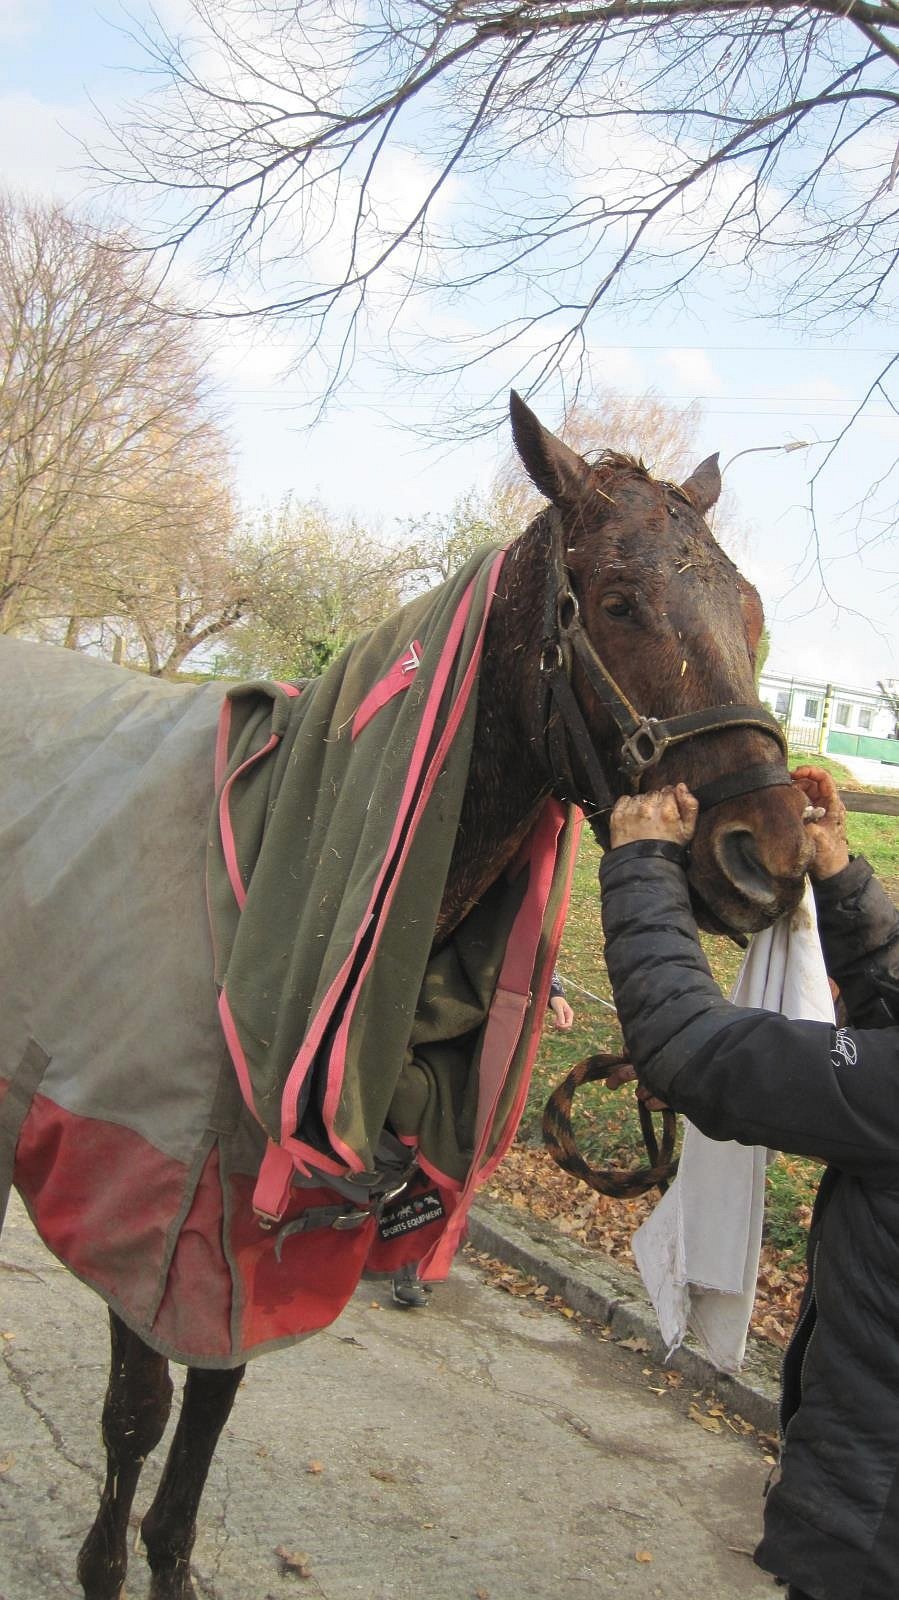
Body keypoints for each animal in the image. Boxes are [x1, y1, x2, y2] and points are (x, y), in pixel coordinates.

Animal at [0, 390, 809, 1600]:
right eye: (618, 602)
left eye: (751, 615)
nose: (768, 860)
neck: (279, 861)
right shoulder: (139, 1198)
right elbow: (137, 1416)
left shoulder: (255, 1237)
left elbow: (212, 1407)